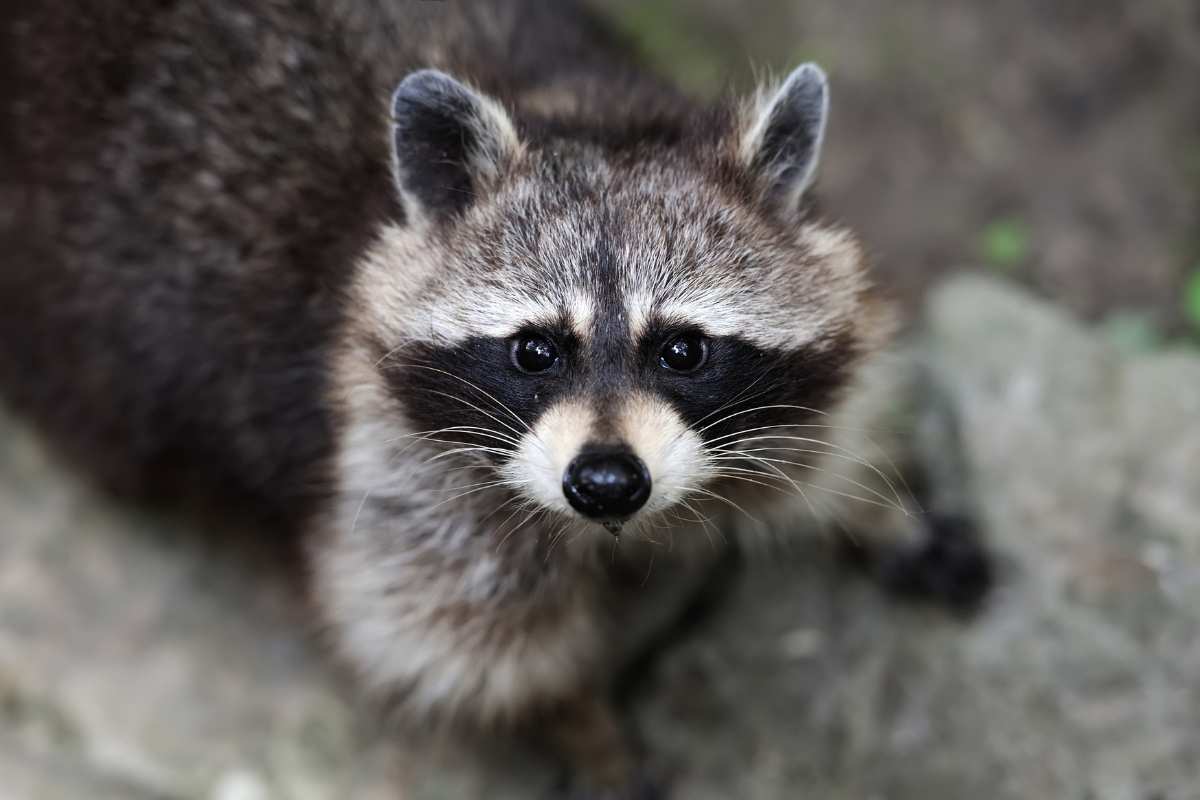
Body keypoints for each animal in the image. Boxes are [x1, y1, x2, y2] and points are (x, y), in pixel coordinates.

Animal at [0, 1, 989, 797]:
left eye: (683, 350)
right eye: (534, 351)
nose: (606, 483)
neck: (584, 115)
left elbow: (827, 422)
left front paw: (876, 507)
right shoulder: (386, 461)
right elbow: (463, 645)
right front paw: (581, 724)